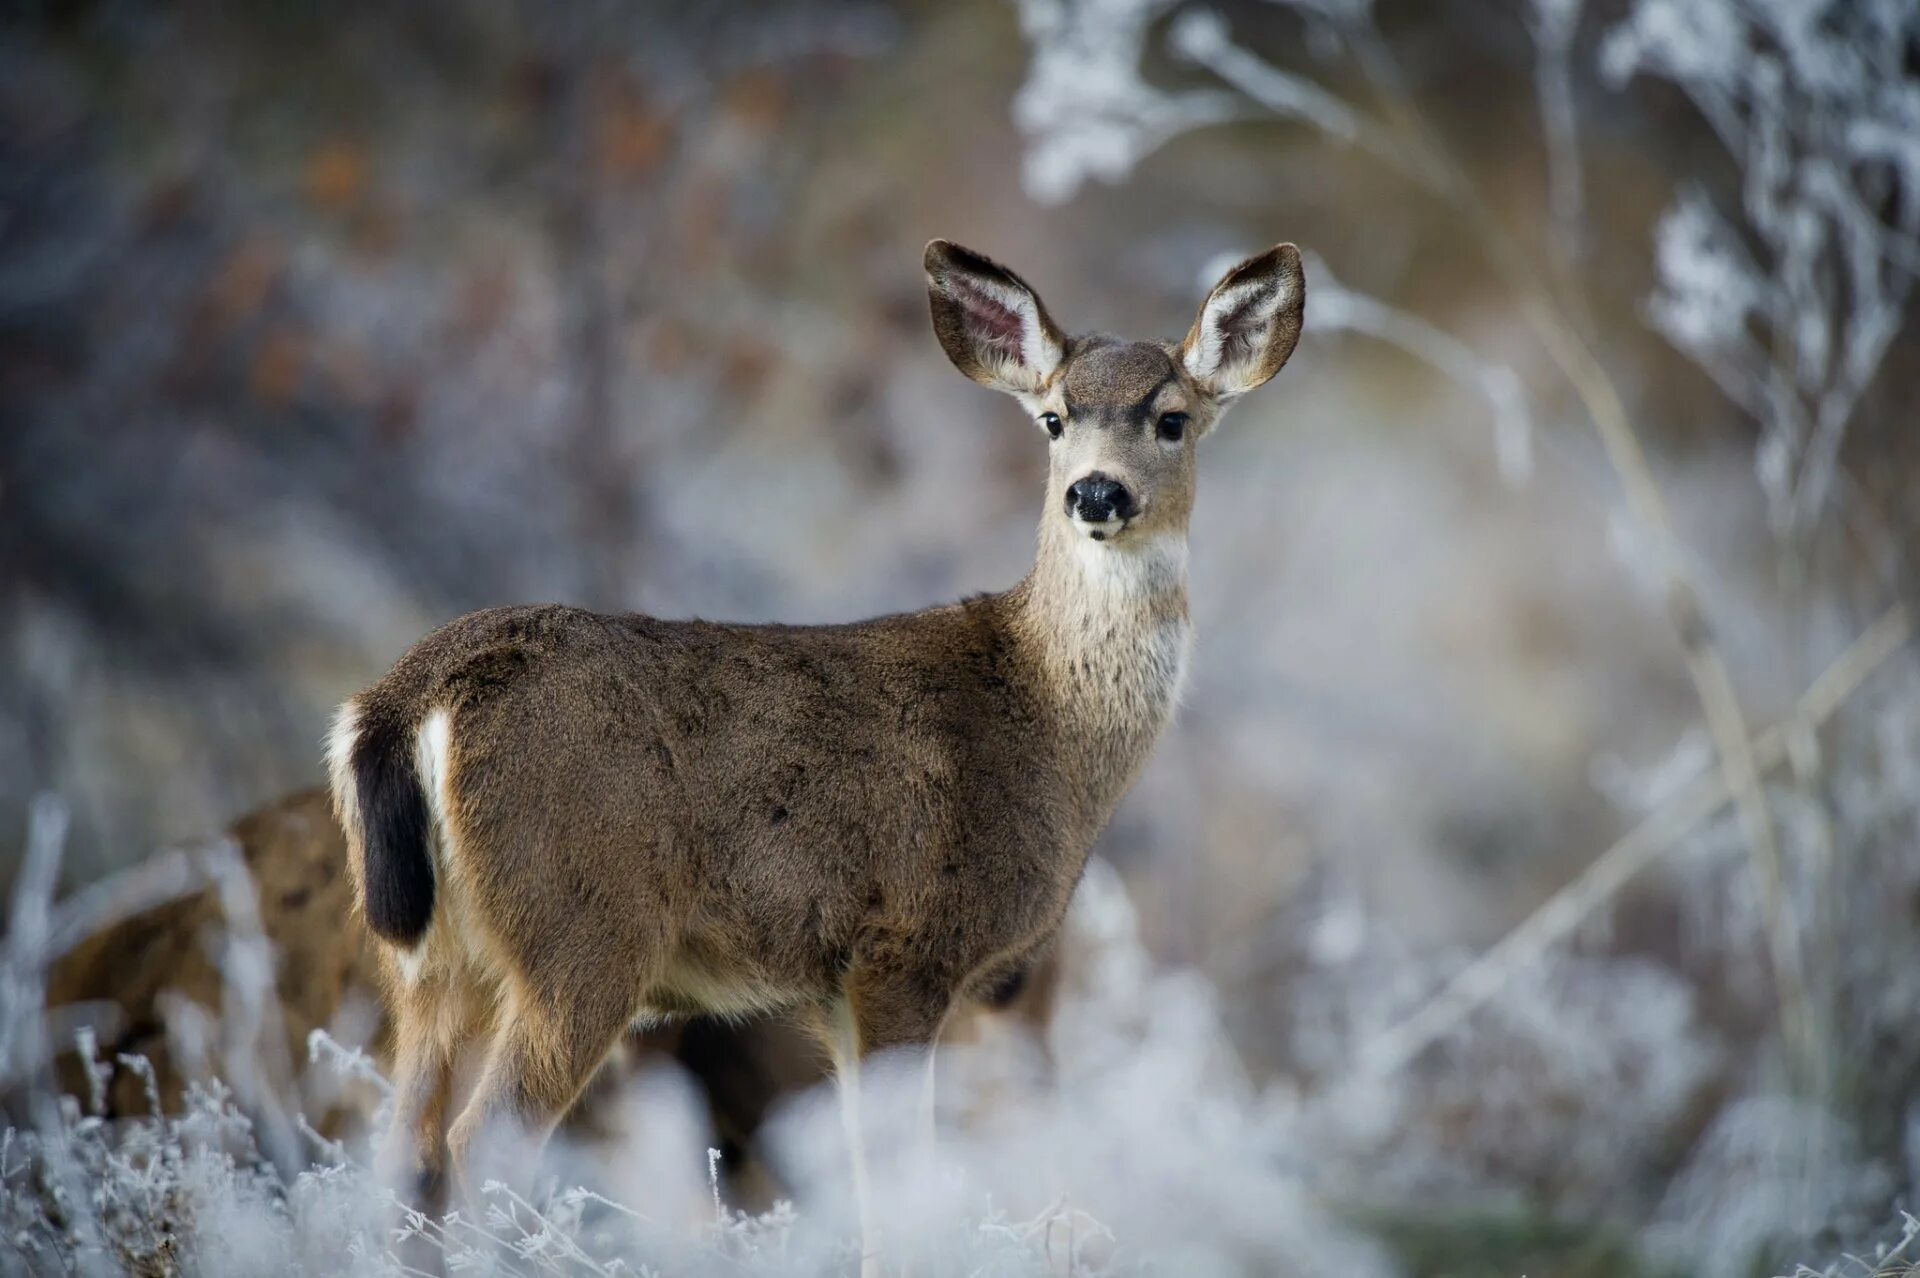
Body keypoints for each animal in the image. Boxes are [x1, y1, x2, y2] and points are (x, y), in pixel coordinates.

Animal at [330, 236, 1305, 1266]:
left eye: (1172, 419)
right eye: (1053, 419)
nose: (1097, 492)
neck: (1049, 720)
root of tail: (405, 699)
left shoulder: (835, 985)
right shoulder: (909, 946)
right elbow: (900, 1184)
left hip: (428, 963)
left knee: (400, 1153)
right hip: (582, 928)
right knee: (485, 1140)